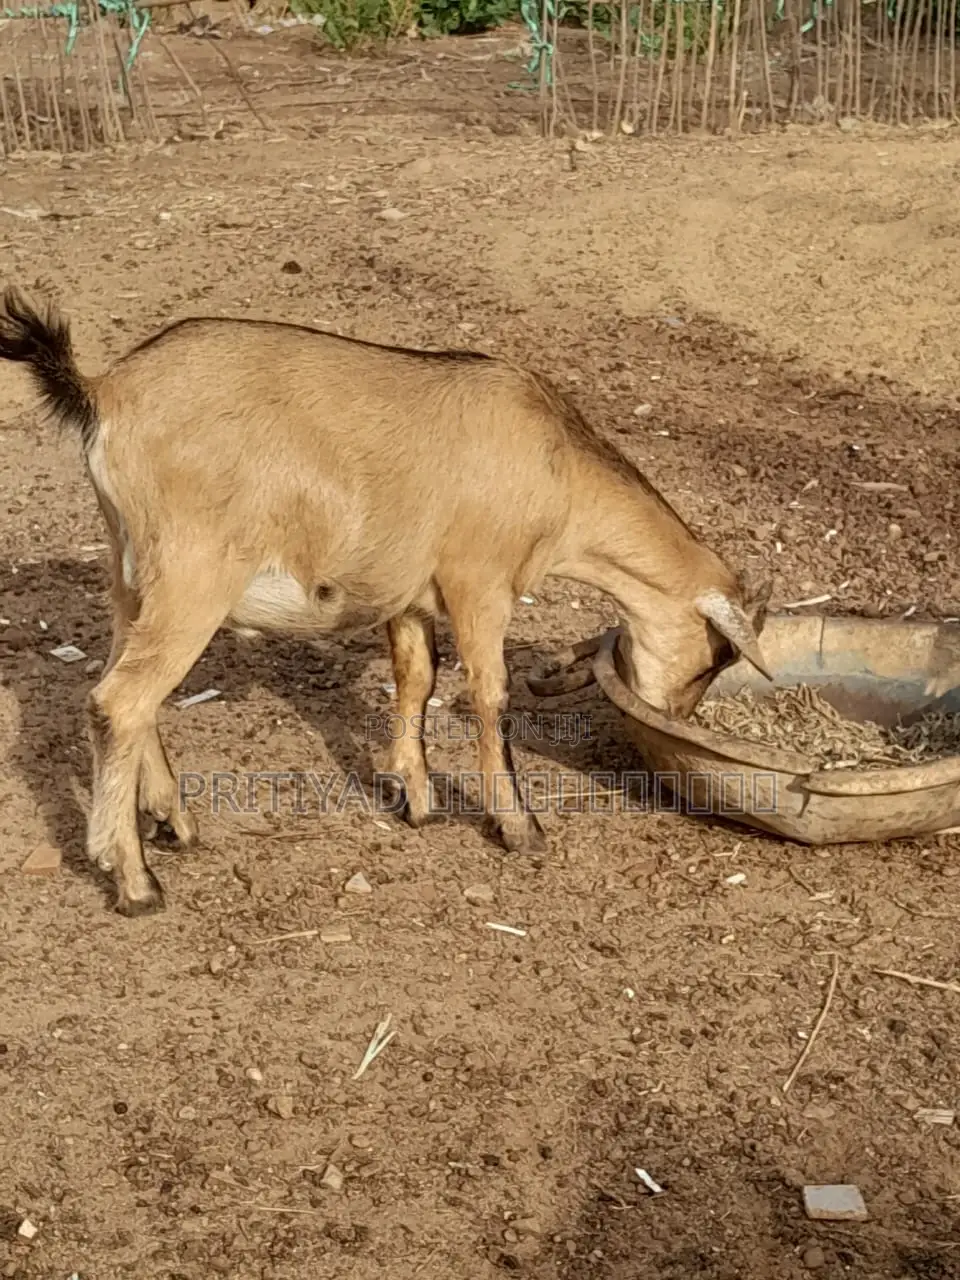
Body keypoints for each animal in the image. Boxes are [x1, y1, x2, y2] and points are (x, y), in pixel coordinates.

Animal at [0, 286, 772, 916]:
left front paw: (416, 800)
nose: (674, 718)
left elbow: (415, 681)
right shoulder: (478, 582)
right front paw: (518, 827)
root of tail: (104, 394)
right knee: (118, 702)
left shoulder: (412, 592)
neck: (558, 471)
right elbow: (490, 695)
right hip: (194, 574)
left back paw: (174, 823)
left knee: (126, 693)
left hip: (131, 573)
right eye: (714, 655)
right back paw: (135, 882)